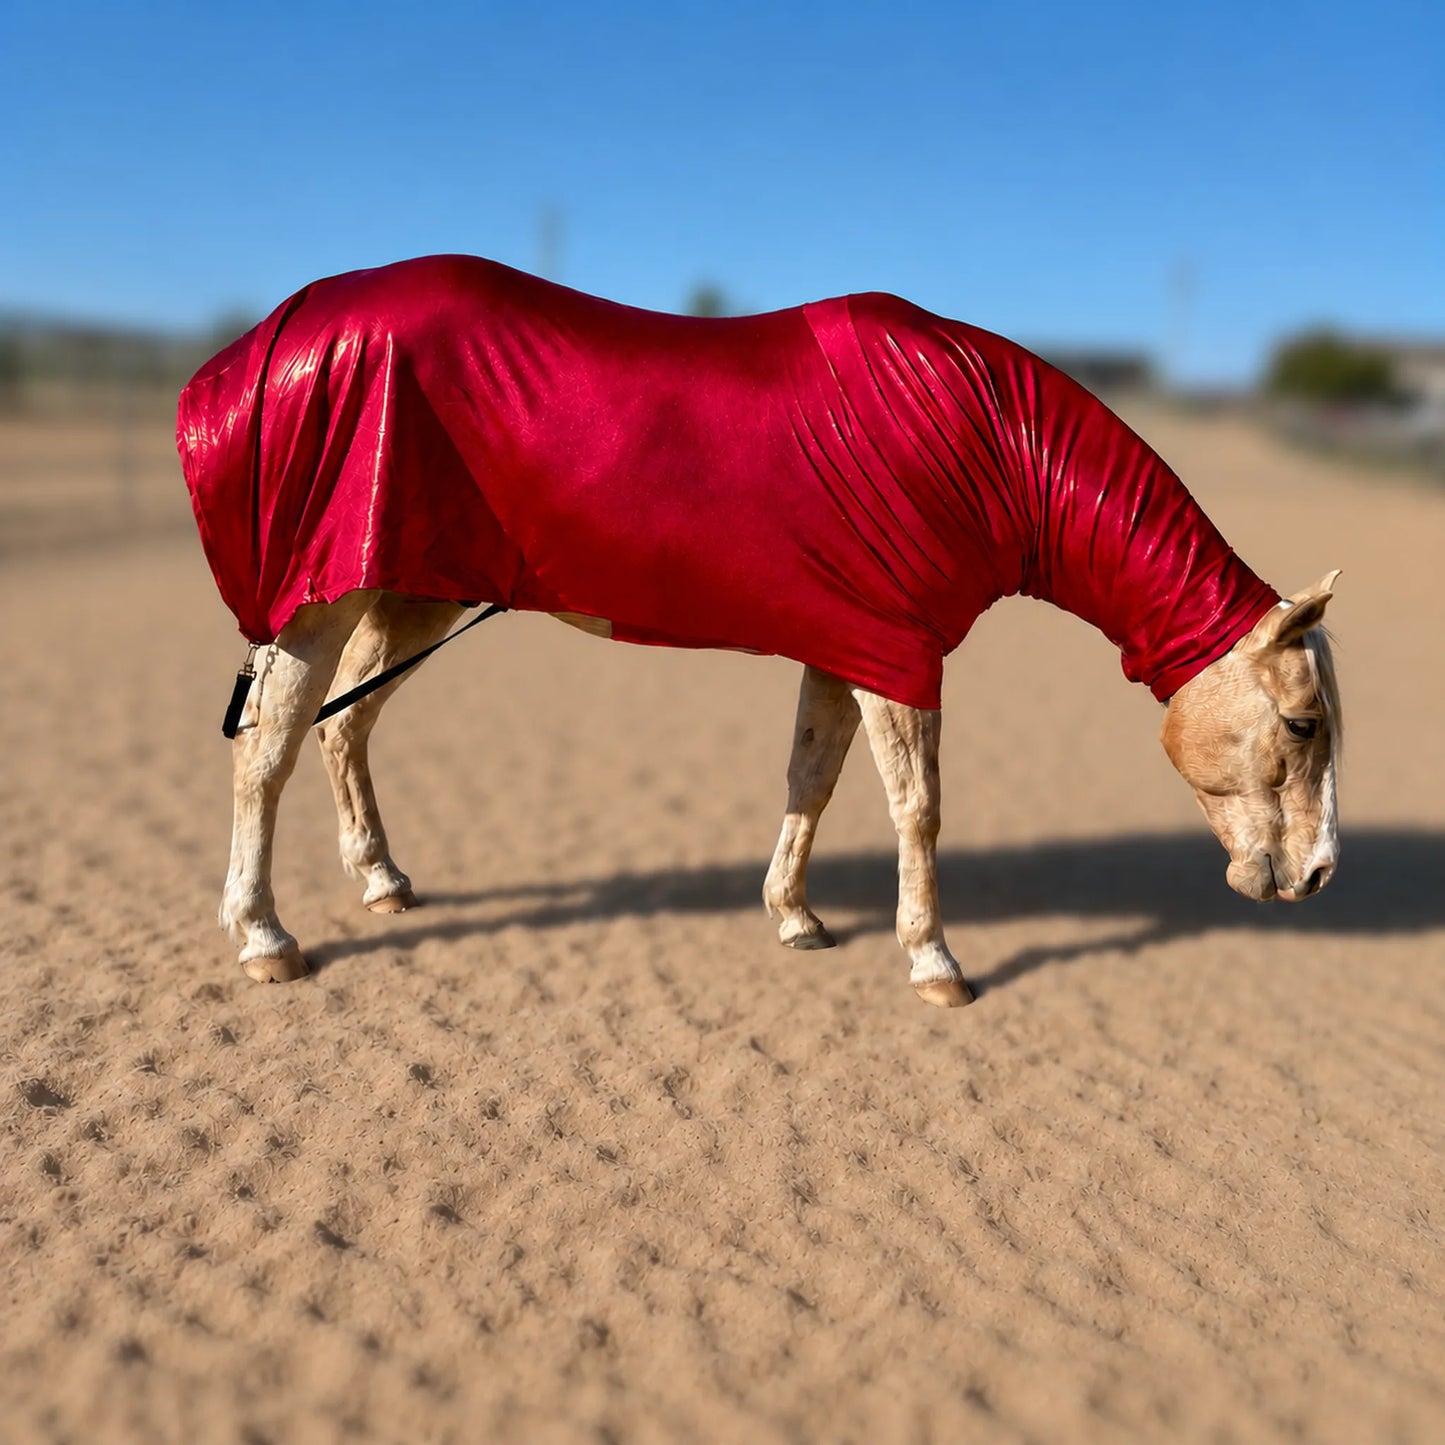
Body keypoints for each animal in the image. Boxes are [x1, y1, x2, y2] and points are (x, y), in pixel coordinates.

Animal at [178, 256, 1341, 1005]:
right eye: (1301, 723)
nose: (1320, 876)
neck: (980, 441)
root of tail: (276, 337)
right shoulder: (898, 653)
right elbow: (917, 808)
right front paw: (935, 962)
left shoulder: (844, 643)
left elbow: (810, 780)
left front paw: (795, 916)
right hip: (321, 602)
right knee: (270, 749)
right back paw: (267, 938)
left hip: (413, 590)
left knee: (345, 728)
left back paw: (382, 882)